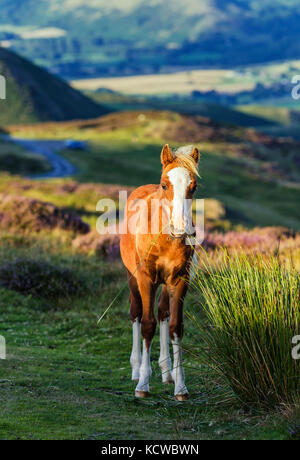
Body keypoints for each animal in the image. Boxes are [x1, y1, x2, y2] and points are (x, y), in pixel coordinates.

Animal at [119, 144, 199, 398]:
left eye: (193, 186)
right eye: (165, 185)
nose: (181, 228)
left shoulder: (180, 280)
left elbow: (175, 327)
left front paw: (181, 387)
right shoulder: (146, 280)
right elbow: (147, 324)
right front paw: (143, 384)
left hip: (166, 284)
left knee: (163, 313)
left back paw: (167, 372)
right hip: (133, 278)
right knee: (136, 313)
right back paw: (136, 369)